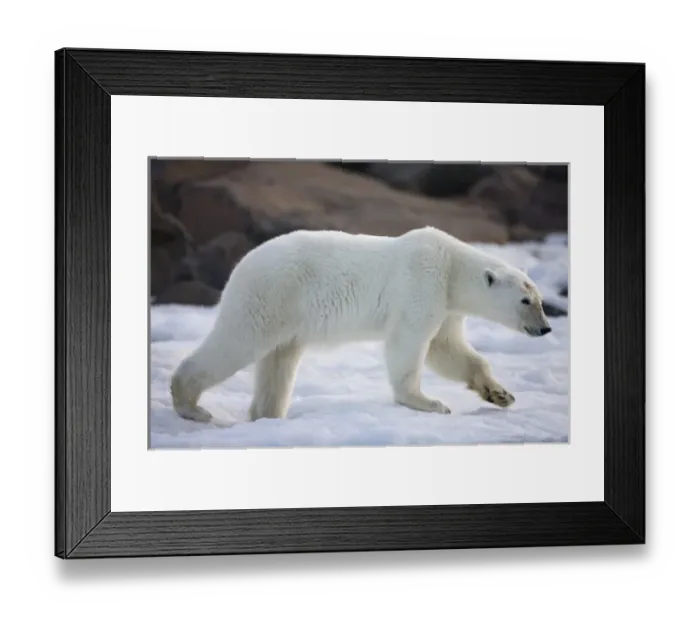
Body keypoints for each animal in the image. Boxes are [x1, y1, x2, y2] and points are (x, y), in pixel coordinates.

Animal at [170, 226, 552, 423]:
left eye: (540, 299)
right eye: (526, 301)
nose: (546, 328)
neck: (452, 266)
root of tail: (242, 263)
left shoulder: (447, 307)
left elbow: (448, 350)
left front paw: (500, 394)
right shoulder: (422, 283)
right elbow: (409, 343)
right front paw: (429, 402)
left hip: (287, 316)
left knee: (278, 363)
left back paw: (268, 416)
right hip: (270, 295)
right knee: (236, 342)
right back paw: (191, 407)